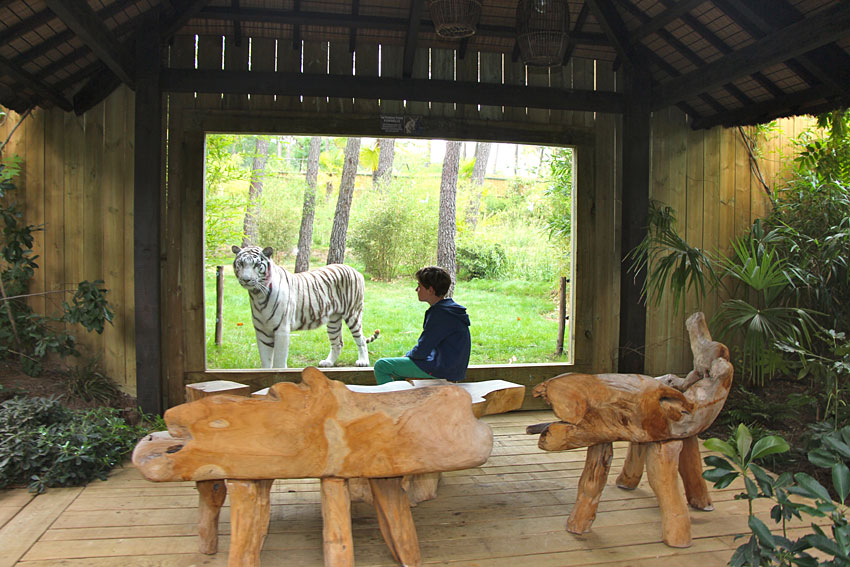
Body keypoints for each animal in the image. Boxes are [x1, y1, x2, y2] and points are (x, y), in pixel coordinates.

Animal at [232, 246, 378, 370]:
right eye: (241, 264)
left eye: (256, 265)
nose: (246, 279)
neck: (257, 295)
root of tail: (356, 271)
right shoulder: (262, 331)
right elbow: (266, 361)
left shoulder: (282, 329)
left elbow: (279, 361)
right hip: (334, 320)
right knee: (338, 343)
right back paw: (328, 362)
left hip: (353, 314)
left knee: (361, 339)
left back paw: (363, 362)